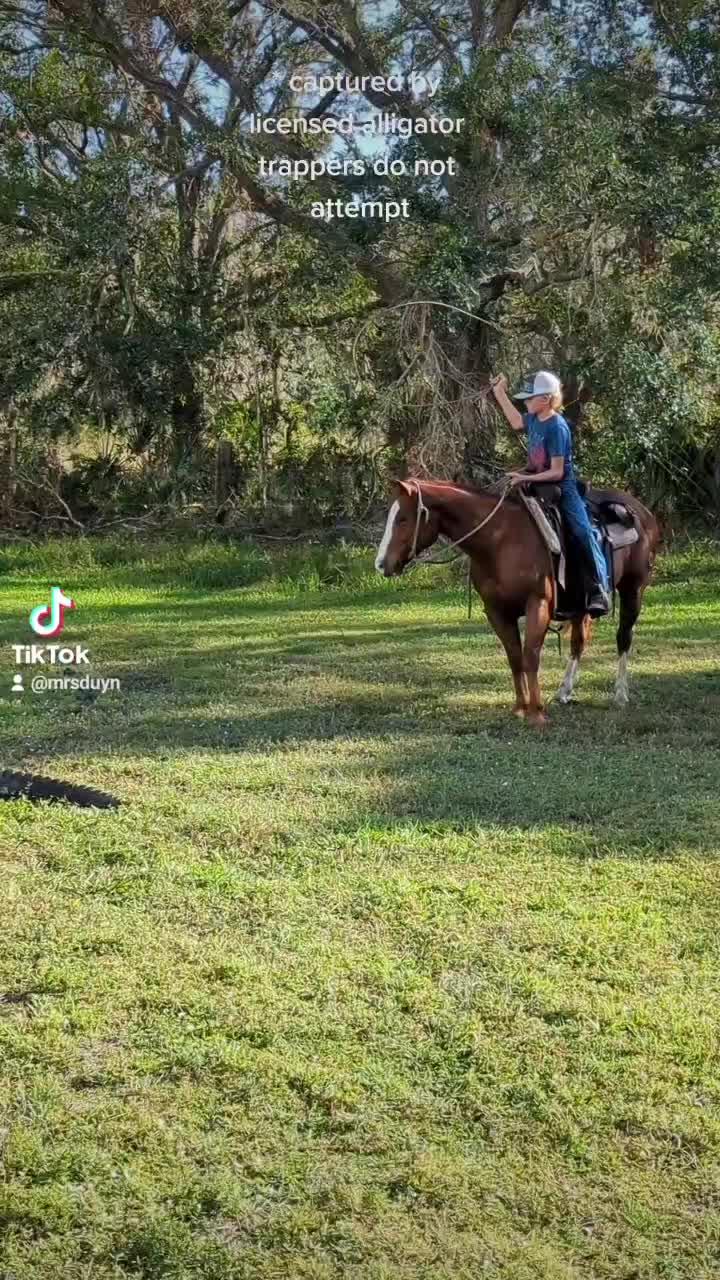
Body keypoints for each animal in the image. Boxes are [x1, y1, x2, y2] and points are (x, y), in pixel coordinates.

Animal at [375, 478, 660, 725]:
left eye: (403, 518)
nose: (381, 564)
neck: (500, 540)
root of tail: (643, 512)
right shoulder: (497, 611)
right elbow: (514, 657)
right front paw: (521, 707)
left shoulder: (538, 605)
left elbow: (530, 656)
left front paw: (537, 713)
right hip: (583, 604)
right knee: (579, 642)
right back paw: (563, 692)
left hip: (633, 589)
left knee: (623, 637)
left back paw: (620, 694)